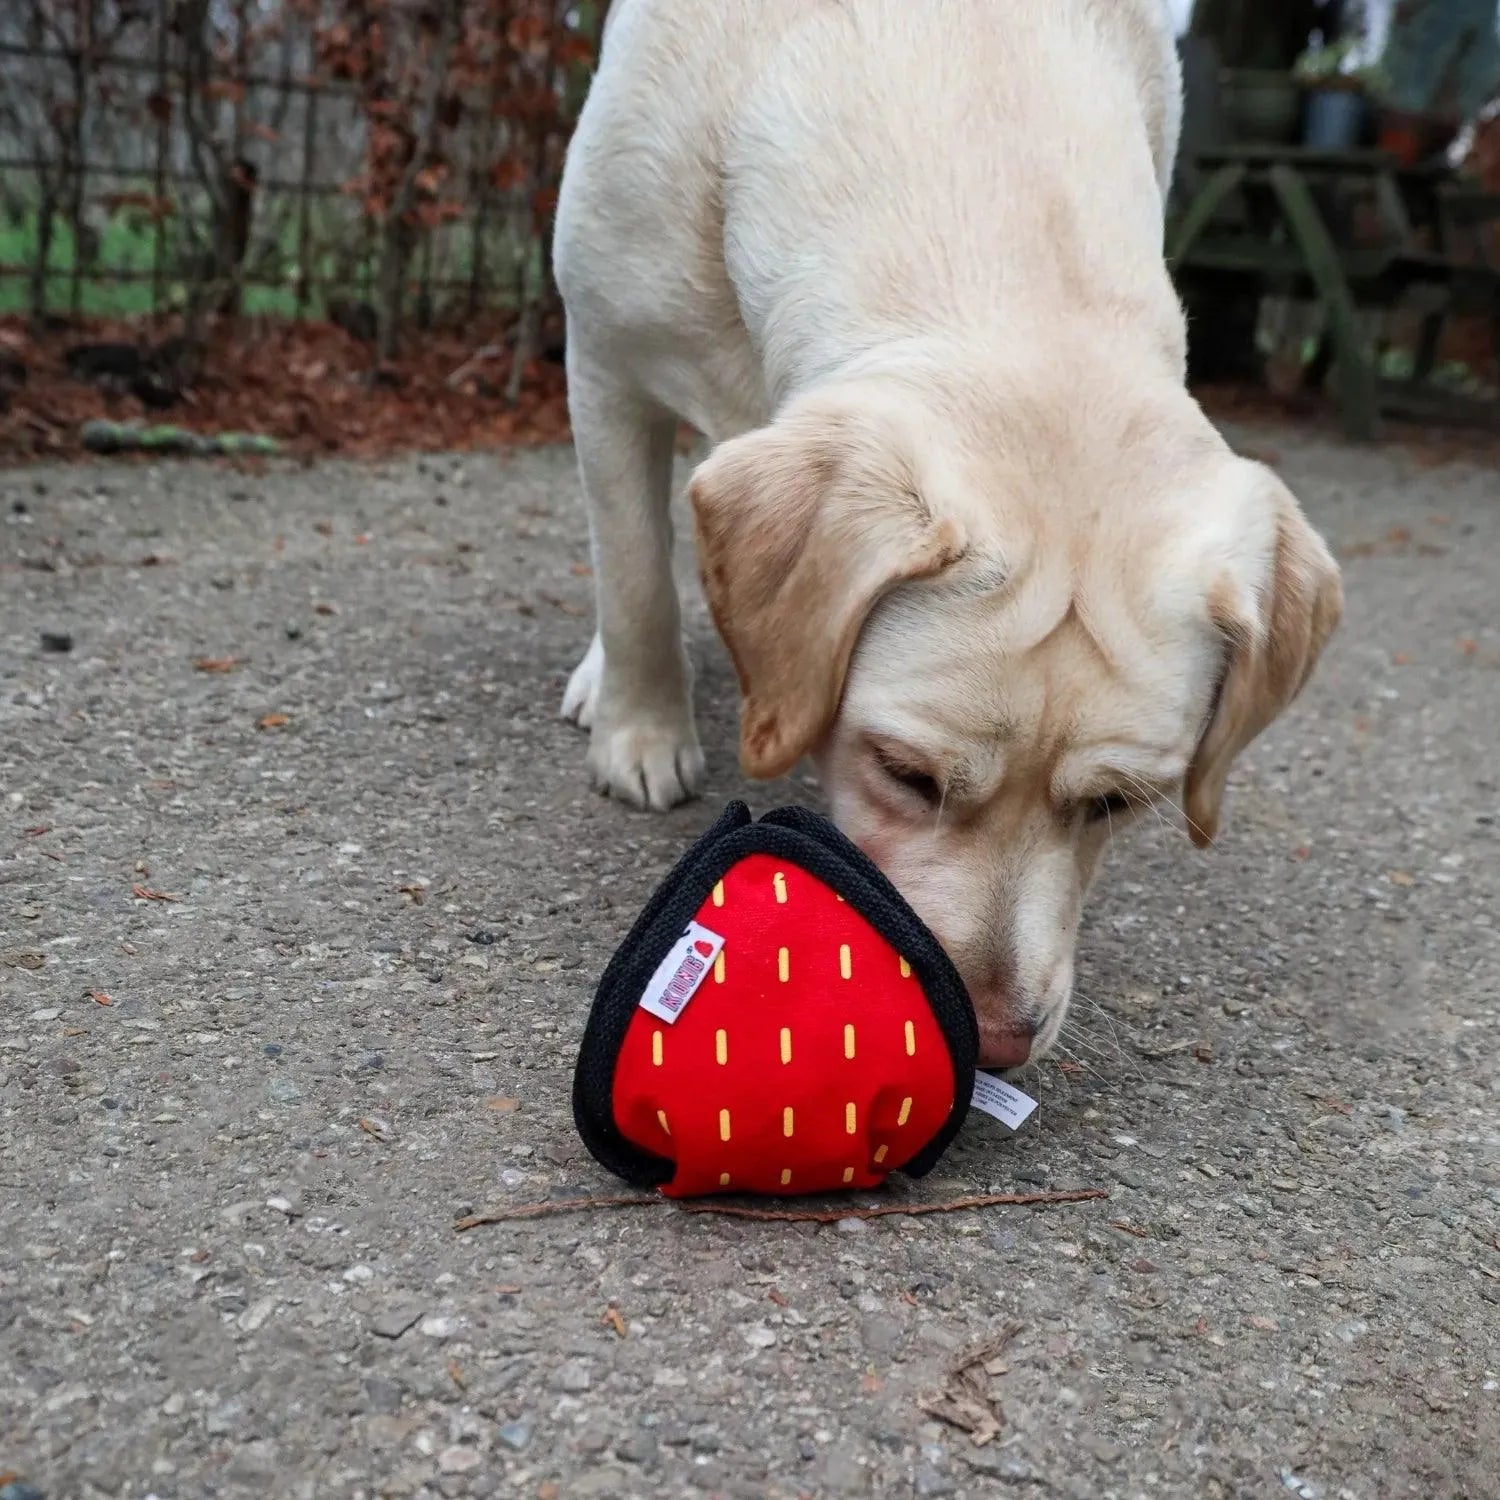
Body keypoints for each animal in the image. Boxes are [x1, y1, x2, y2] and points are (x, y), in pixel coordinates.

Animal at [555, 0, 1350, 1068]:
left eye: (1116, 804)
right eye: (907, 774)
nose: (999, 1045)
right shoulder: (604, 358)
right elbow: (636, 577)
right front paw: (641, 730)